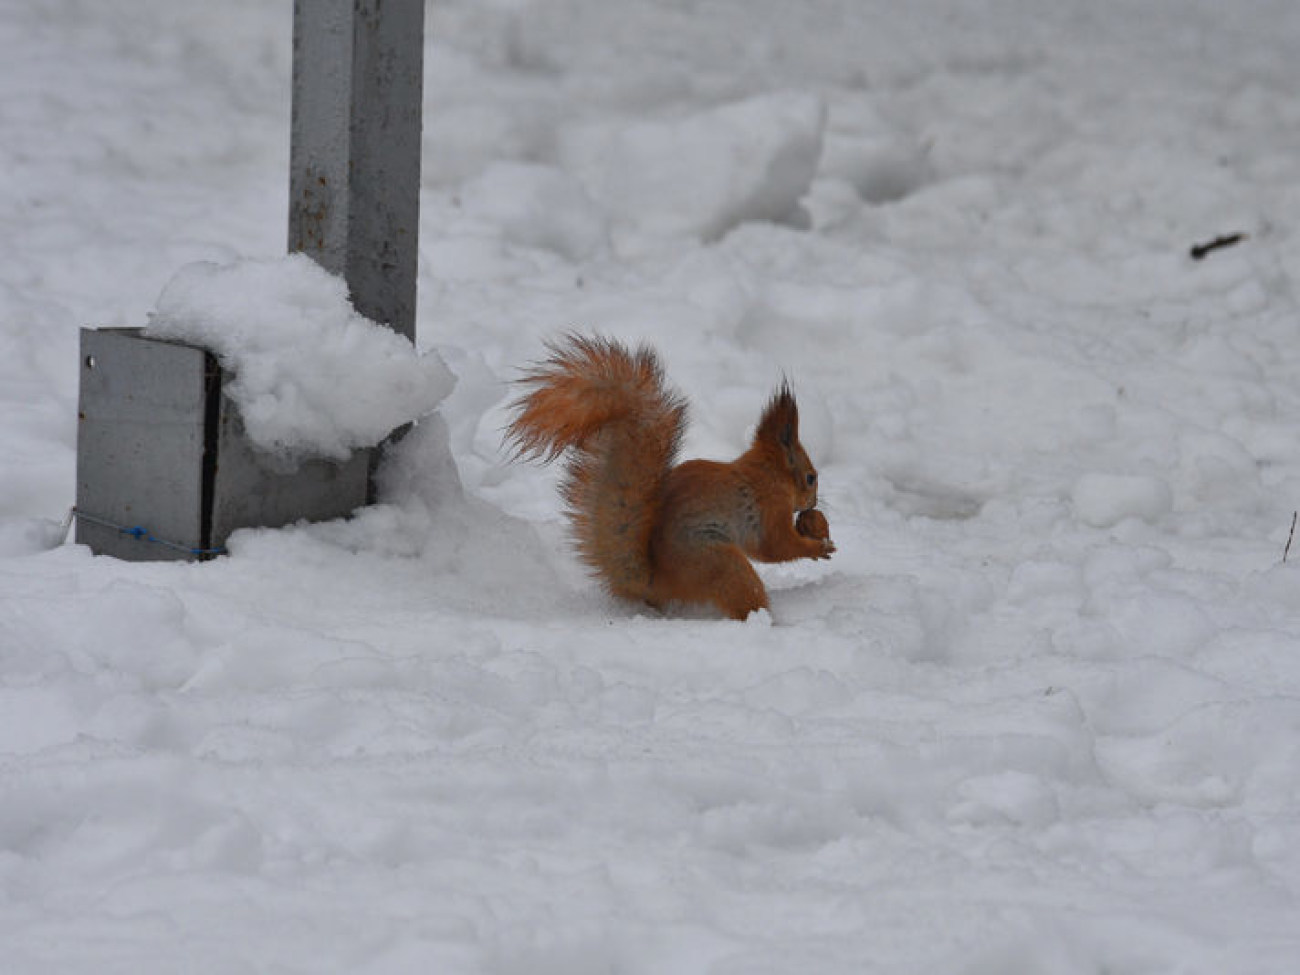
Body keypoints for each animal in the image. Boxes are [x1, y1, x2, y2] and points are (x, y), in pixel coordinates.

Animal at [506, 335, 832, 621]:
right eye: (810, 478)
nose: (814, 502)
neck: (767, 474)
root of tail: (656, 581)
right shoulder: (769, 509)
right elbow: (775, 547)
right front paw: (818, 547)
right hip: (720, 563)